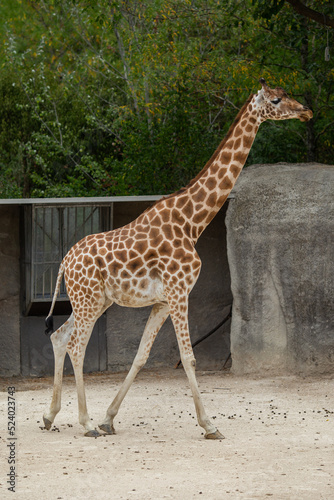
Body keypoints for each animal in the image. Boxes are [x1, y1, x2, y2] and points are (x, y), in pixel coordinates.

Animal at [43, 78, 312, 438]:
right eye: (276, 100)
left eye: (286, 95)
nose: (306, 111)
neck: (192, 222)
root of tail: (63, 263)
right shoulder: (180, 291)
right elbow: (188, 357)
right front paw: (210, 425)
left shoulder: (162, 300)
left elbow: (141, 356)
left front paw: (109, 418)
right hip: (88, 300)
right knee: (75, 345)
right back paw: (85, 423)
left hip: (95, 300)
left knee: (59, 337)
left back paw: (51, 416)